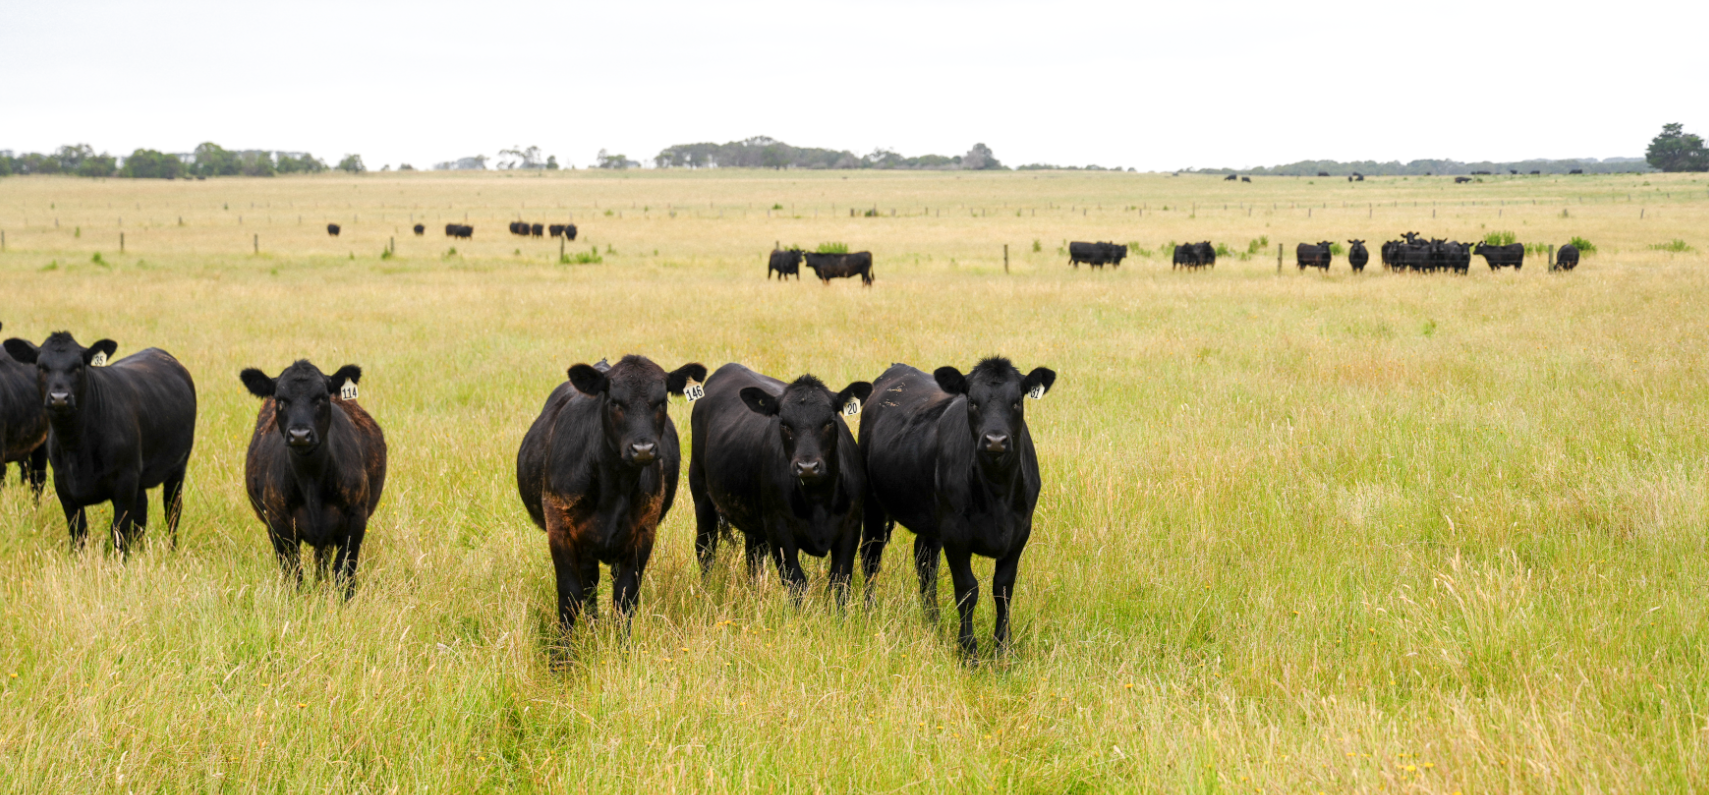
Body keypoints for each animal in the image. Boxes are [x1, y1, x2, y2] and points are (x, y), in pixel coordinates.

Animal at [2, 333, 196, 553]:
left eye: (79, 366)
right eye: (41, 366)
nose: (59, 398)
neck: (76, 448)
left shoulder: (125, 482)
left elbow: (119, 531)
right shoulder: (63, 485)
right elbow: (78, 532)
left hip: (178, 466)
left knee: (172, 510)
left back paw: (171, 550)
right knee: (142, 513)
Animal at [240, 361, 385, 598]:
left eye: (321, 397)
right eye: (280, 399)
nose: (299, 435)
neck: (311, 481)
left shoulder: (356, 520)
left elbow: (344, 574)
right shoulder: (278, 523)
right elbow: (292, 575)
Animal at [515, 355, 706, 637]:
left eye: (662, 401)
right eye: (614, 401)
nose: (643, 449)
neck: (614, 486)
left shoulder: (643, 531)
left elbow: (626, 595)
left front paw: (623, 646)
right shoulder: (559, 527)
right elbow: (569, 595)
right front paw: (562, 650)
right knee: (588, 584)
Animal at [687, 365, 872, 604]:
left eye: (830, 421)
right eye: (784, 423)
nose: (807, 466)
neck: (818, 500)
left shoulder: (852, 525)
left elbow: (840, 584)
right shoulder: (778, 528)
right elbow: (796, 583)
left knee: (753, 558)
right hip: (701, 492)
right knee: (705, 549)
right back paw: (704, 594)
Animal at [859, 359, 1056, 659]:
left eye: (1016, 401)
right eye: (972, 401)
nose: (995, 440)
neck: (997, 492)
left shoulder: (1020, 532)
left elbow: (1003, 589)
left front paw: (1003, 650)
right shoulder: (955, 534)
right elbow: (967, 590)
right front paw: (968, 652)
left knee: (925, 563)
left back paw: (933, 623)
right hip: (873, 503)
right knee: (871, 555)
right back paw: (869, 611)